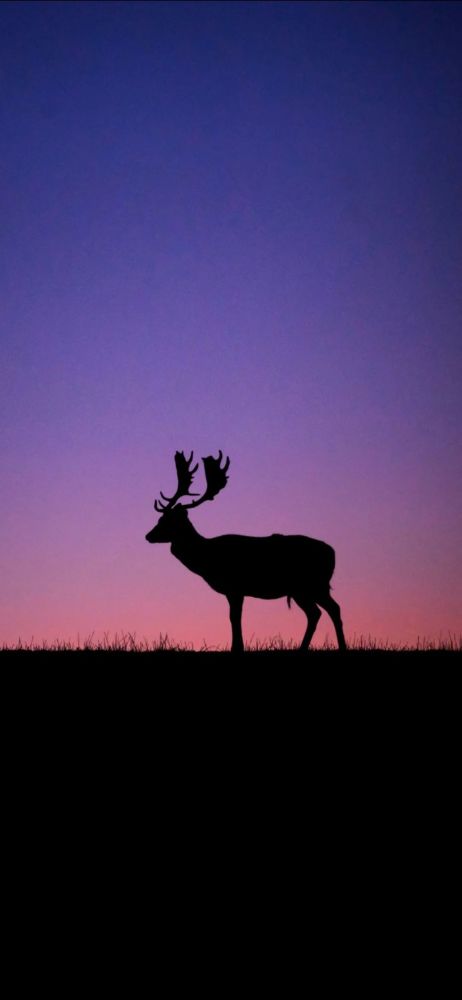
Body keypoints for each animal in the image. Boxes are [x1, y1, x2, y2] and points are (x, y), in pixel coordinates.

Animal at [145, 454, 346, 656]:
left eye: (167, 521)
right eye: (160, 519)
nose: (148, 535)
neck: (208, 557)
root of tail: (332, 552)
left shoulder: (235, 586)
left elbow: (234, 617)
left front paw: (236, 648)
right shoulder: (234, 590)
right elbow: (235, 617)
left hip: (312, 584)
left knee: (331, 609)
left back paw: (339, 647)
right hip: (304, 589)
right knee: (317, 612)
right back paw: (306, 648)